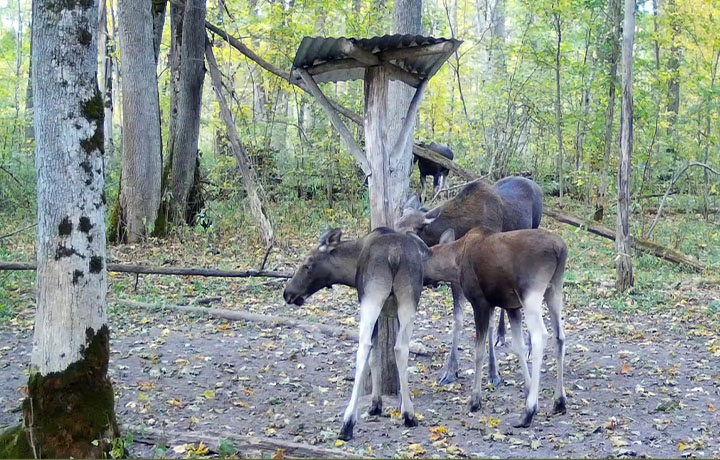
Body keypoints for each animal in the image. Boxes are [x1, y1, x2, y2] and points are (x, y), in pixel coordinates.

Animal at [282, 228, 428, 440]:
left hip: (372, 298)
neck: (351, 267)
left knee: (364, 347)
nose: (288, 293)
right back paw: (409, 414)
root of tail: (394, 255)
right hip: (409, 299)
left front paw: (375, 405)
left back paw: (348, 422)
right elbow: (381, 355)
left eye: (307, 264)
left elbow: (373, 356)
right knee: (401, 348)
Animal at [396, 176, 544, 384]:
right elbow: (457, 320)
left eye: (407, 235)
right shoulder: (457, 278)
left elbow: (487, 324)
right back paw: (502, 335)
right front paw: (451, 371)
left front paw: (493, 372)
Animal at [422, 226, 568, 428]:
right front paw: (528, 389)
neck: (455, 262)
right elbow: (518, 348)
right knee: (560, 337)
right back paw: (559, 401)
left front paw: (475, 400)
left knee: (540, 337)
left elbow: (479, 352)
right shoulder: (511, 307)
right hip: (554, 289)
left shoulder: (480, 303)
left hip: (531, 293)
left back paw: (529, 412)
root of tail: (559, 249)